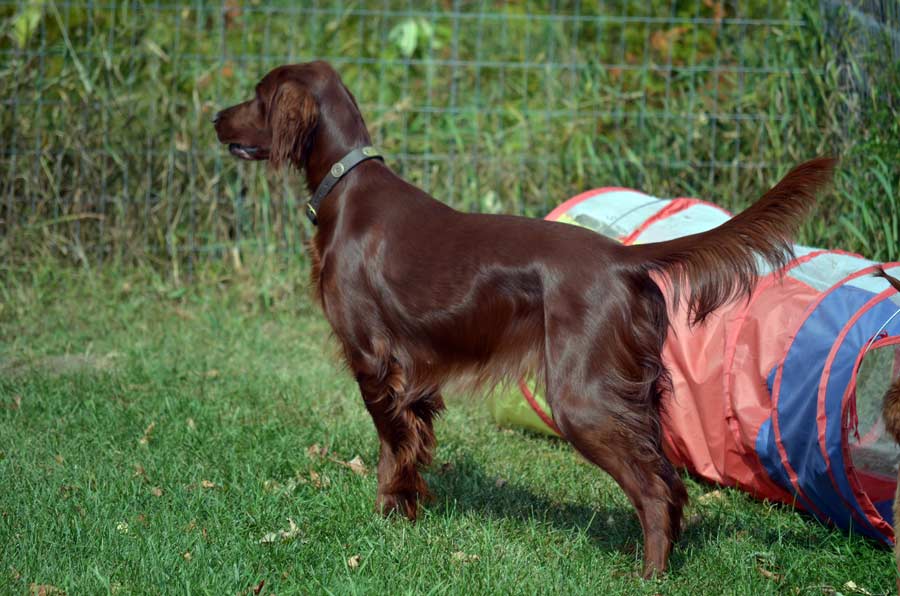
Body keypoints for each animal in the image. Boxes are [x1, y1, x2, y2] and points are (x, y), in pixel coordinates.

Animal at [214, 61, 832, 576]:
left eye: (258, 95)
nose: (216, 117)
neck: (345, 188)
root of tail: (621, 258)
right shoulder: (414, 376)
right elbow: (413, 447)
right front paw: (408, 517)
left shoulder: (373, 360)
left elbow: (391, 449)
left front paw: (386, 516)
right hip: (635, 395)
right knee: (671, 481)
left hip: (581, 399)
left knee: (655, 489)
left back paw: (650, 575)